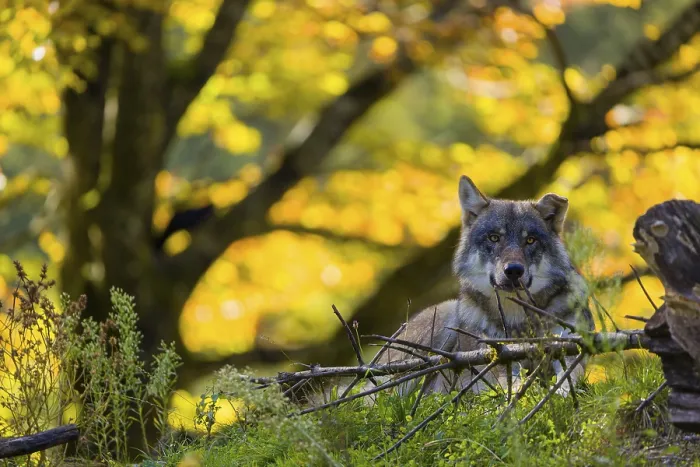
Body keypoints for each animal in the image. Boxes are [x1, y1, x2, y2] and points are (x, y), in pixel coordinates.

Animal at [378, 175, 594, 396]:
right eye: (494, 237)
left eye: (530, 240)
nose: (513, 270)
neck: (517, 318)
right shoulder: (493, 359)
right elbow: (507, 379)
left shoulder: (569, 346)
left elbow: (571, 372)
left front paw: (562, 390)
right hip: (445, 316)